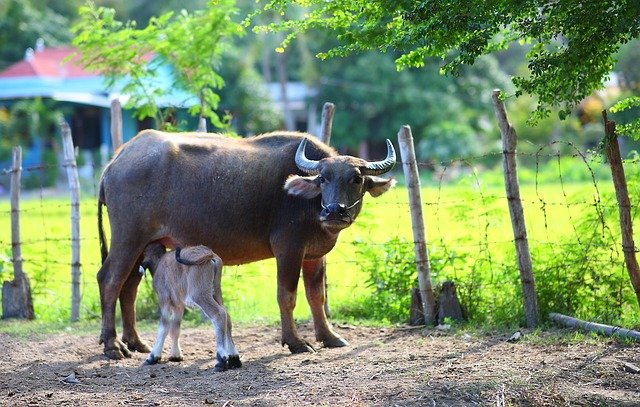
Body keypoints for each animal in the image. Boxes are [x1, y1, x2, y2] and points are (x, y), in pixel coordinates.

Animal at [96, 131, 396, 360]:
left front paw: (329, 336)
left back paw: (135, 342)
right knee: (109, 280)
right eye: (323, 178)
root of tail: (117, 160)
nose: (334, 211)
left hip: (144, 244)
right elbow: (287, 296)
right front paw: (296, 342)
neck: (306, 201)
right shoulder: (288, 249)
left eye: (356, 178)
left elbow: (316, 295)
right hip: (127, 238)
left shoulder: (314, 254)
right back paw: (113, 345)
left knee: (129, 288)